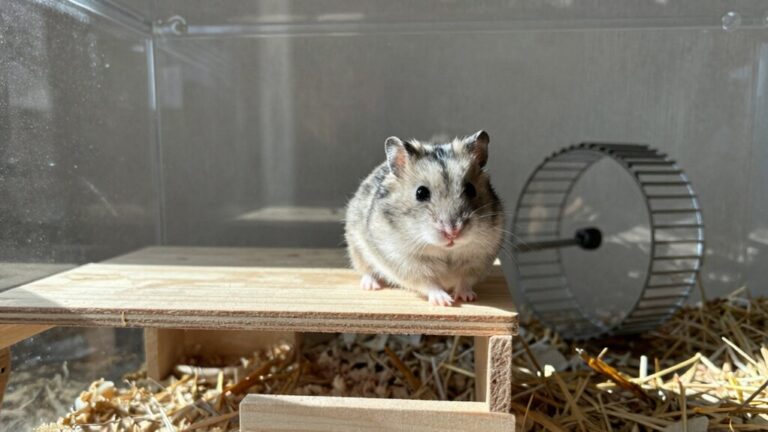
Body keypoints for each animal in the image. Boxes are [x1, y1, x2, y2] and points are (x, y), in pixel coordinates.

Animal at [344, 130, 504, 306]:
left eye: (470, 189)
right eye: (420, 193)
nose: (452, 232)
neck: (446, 251)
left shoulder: (477, 260)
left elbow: (464, 281)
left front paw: (467, 297)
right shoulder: (407, 263)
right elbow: (429, 283)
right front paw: (444, 302)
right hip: (356, 248)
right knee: (365, 270)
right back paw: (372, 286)